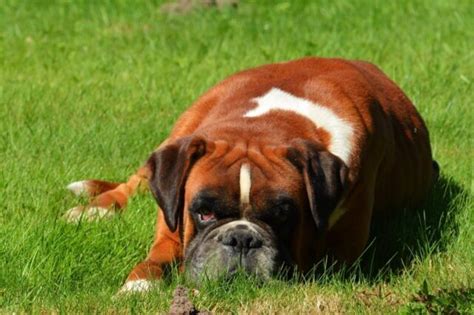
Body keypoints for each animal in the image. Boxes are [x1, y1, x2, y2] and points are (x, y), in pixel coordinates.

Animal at [65, 57, 438, 294]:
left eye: (281, 216)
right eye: (205, 213)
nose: (242, 239)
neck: (262, 126)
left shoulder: (339, 256)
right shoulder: (169, 230)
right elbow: (153, 261)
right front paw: (137, 286)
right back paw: (93, 208)